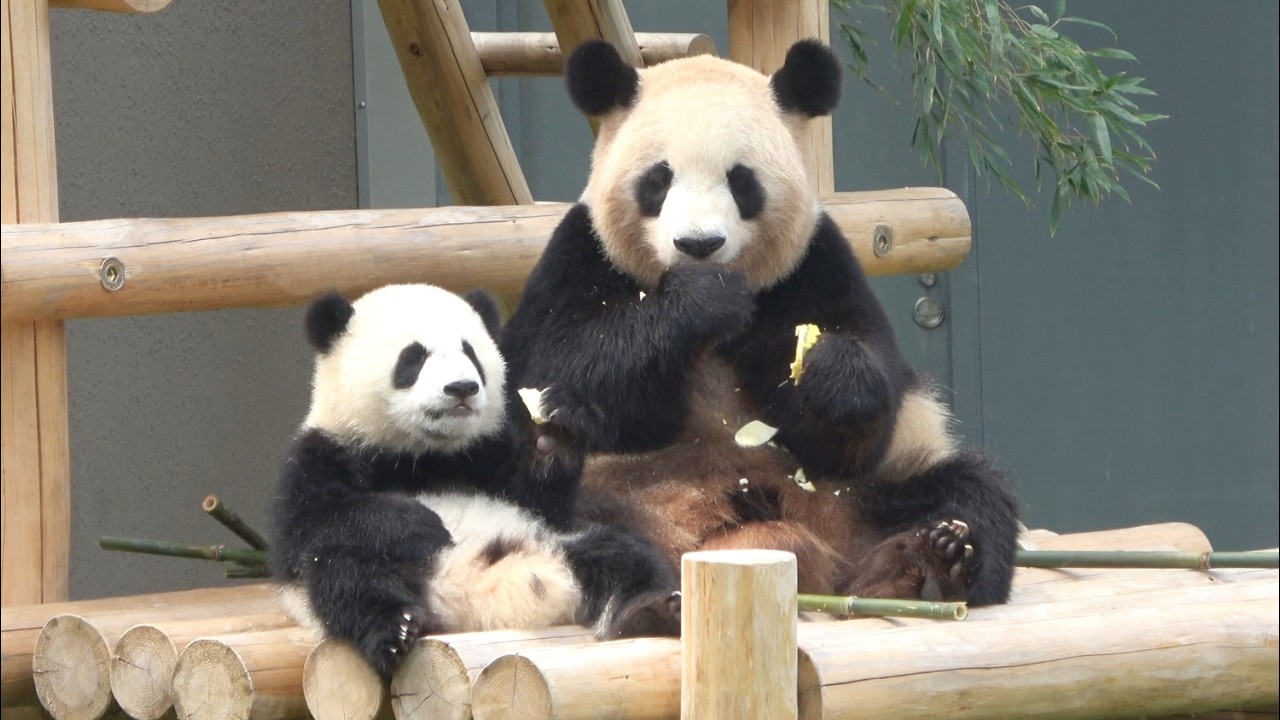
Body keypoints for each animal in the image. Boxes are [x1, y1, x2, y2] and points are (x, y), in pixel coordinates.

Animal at [269, 283, 679, 680]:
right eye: (413, 358)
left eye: (471, 353)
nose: (462, 387)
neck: (422, 454)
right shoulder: (321, 454)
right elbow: (313, 522)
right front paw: (419, 522)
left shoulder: (486, 457)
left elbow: (540, 500)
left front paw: (559, 430)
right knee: (347, 575)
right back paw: (395, 631)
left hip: (552, 542)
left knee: (621, 552)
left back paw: (649, 608)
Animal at [500, 40, 1021, 606]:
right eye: (658, 179)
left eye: (741, 181)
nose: (699, 244)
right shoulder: (580, 255)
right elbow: (559, 363)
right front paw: (699, 301)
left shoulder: (814, 266)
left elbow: (854, 424)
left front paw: (832, 373)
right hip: (610, 486)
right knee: (547, 512)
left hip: (871, 492)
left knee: (970, 489)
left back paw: (930, 564)